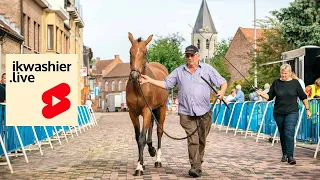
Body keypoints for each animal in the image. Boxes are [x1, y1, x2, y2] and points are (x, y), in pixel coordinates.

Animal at [125, 32, 169, 176]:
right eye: (130, 52)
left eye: (145, 53)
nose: (134, 76)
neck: (138, 87)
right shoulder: (133, 113)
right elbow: (138, 137)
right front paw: (141, 163)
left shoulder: (146, 111)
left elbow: (142, 139)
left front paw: (139, 167)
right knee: (151, 126)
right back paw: (151, 149)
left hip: (161, 108)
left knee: (159, 131)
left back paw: (158, 159)